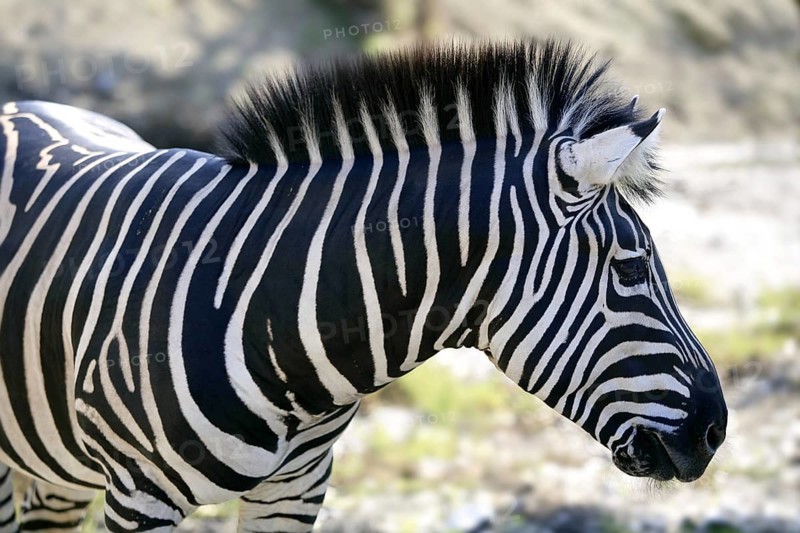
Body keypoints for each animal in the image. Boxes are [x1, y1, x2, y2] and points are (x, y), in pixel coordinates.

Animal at [0, 40, 727, 531]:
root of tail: (25, 103)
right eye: (630, 269)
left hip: (56, 465)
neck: (273, 315)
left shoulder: (295, 491)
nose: (716, 430)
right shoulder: (140, 497)